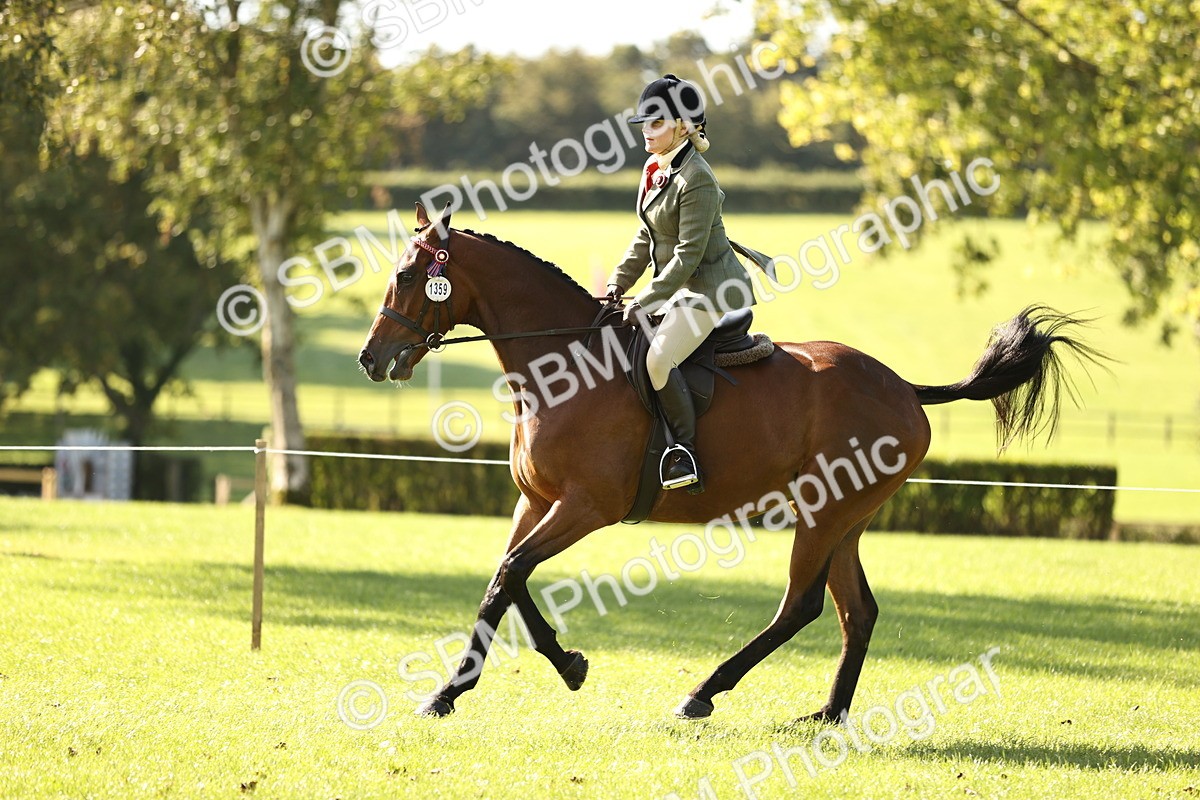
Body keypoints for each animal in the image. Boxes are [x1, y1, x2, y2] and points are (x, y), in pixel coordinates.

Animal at [358, 202, 1103, 721]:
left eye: (405, 275)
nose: (371, 359)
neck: (562, 364)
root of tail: (902, 387)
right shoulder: (535, 502)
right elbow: (503, 582)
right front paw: (472, 687)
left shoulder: (585, 507)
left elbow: (510, 576)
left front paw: (543, 671)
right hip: (845, 518)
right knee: (856, 611)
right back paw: (828, 715)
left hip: (824, 514)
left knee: (802, 606)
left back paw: (703, 692)